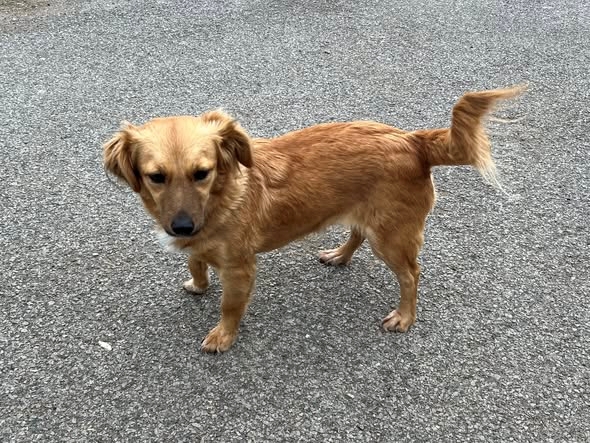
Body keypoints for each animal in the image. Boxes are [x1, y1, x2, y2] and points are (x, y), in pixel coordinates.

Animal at [103, 86, 524, 352]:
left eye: (201, 173)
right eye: (157, 177)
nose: (182, 227)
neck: (220, 197)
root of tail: (413, 141)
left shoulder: (240, 268)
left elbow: (229, 306)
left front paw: (223, 336)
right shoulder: (198, 243)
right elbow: (196, 262)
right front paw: (198, 283)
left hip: (392, 238)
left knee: (411, 275)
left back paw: (404, 316)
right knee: (356, 234)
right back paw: (339, 256)